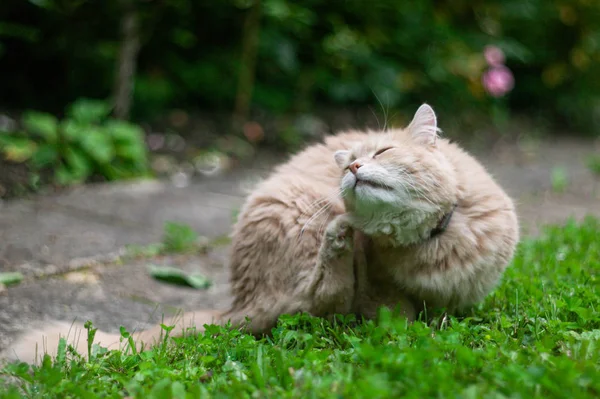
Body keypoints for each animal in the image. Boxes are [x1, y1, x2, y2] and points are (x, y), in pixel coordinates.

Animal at [3, 104, 520, 366]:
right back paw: (339, 237)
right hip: (297, 214)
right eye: (349, 165)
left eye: (383, 152)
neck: (429, 241)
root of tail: (237, 298)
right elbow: (397, 318)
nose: (353, 168)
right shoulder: (380, 295)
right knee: (315, 300)